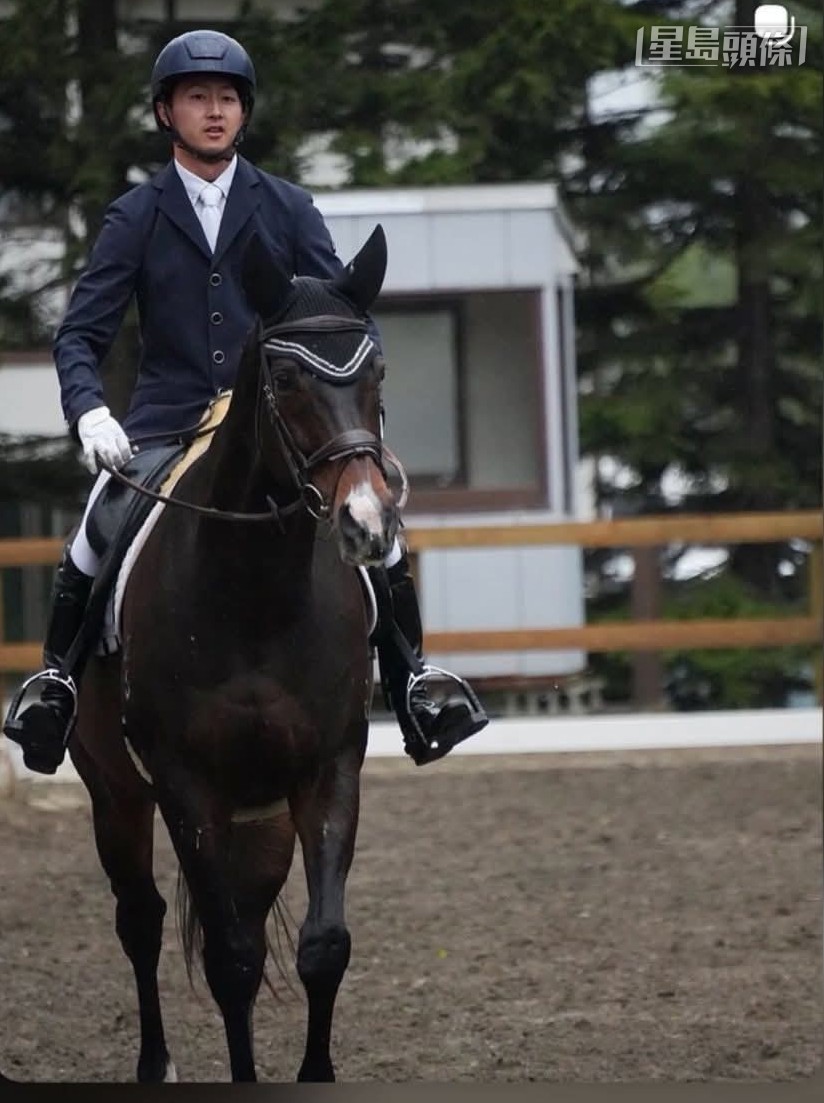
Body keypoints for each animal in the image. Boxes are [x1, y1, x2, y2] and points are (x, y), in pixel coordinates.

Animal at [68, 225, 399, 1082]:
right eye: (284, 377)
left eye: (377, 369)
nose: (367, 521)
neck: (257, 594)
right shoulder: (188, 785)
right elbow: (229, 960)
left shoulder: (328, 769)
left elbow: (322, 946)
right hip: (117, 792)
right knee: (142, 919)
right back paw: (155, 1065)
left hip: (263, 819)